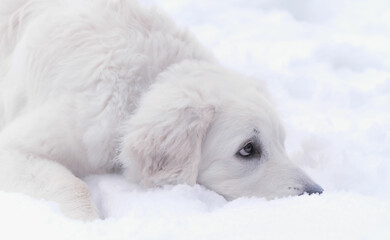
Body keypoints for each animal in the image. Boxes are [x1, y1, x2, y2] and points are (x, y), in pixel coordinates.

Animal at [0, 0, 322, 219]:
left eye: (282, 143)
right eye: (247, 149)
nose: (317, 194)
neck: (145, 83)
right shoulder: (16, 147)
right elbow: (74, 187)